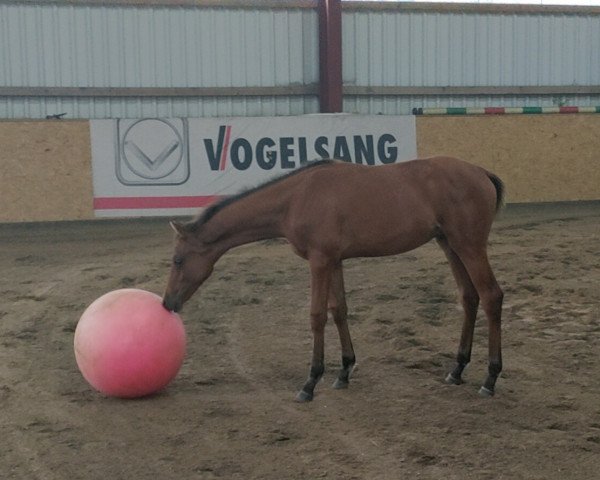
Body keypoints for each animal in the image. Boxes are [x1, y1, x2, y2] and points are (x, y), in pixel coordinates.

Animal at [162, 158, 504, 402]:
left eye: (178, 260)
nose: (168, 303)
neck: (296, 198)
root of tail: (482, 172)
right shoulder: (335, 261)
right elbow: (339, 310)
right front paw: (344, 371)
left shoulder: (320, 261)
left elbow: (316, 316)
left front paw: (311, 382)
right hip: (450, 245)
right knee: (469, 297)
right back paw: (457, 369)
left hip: (468, 246)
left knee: (491, 296)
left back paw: (490, 377)